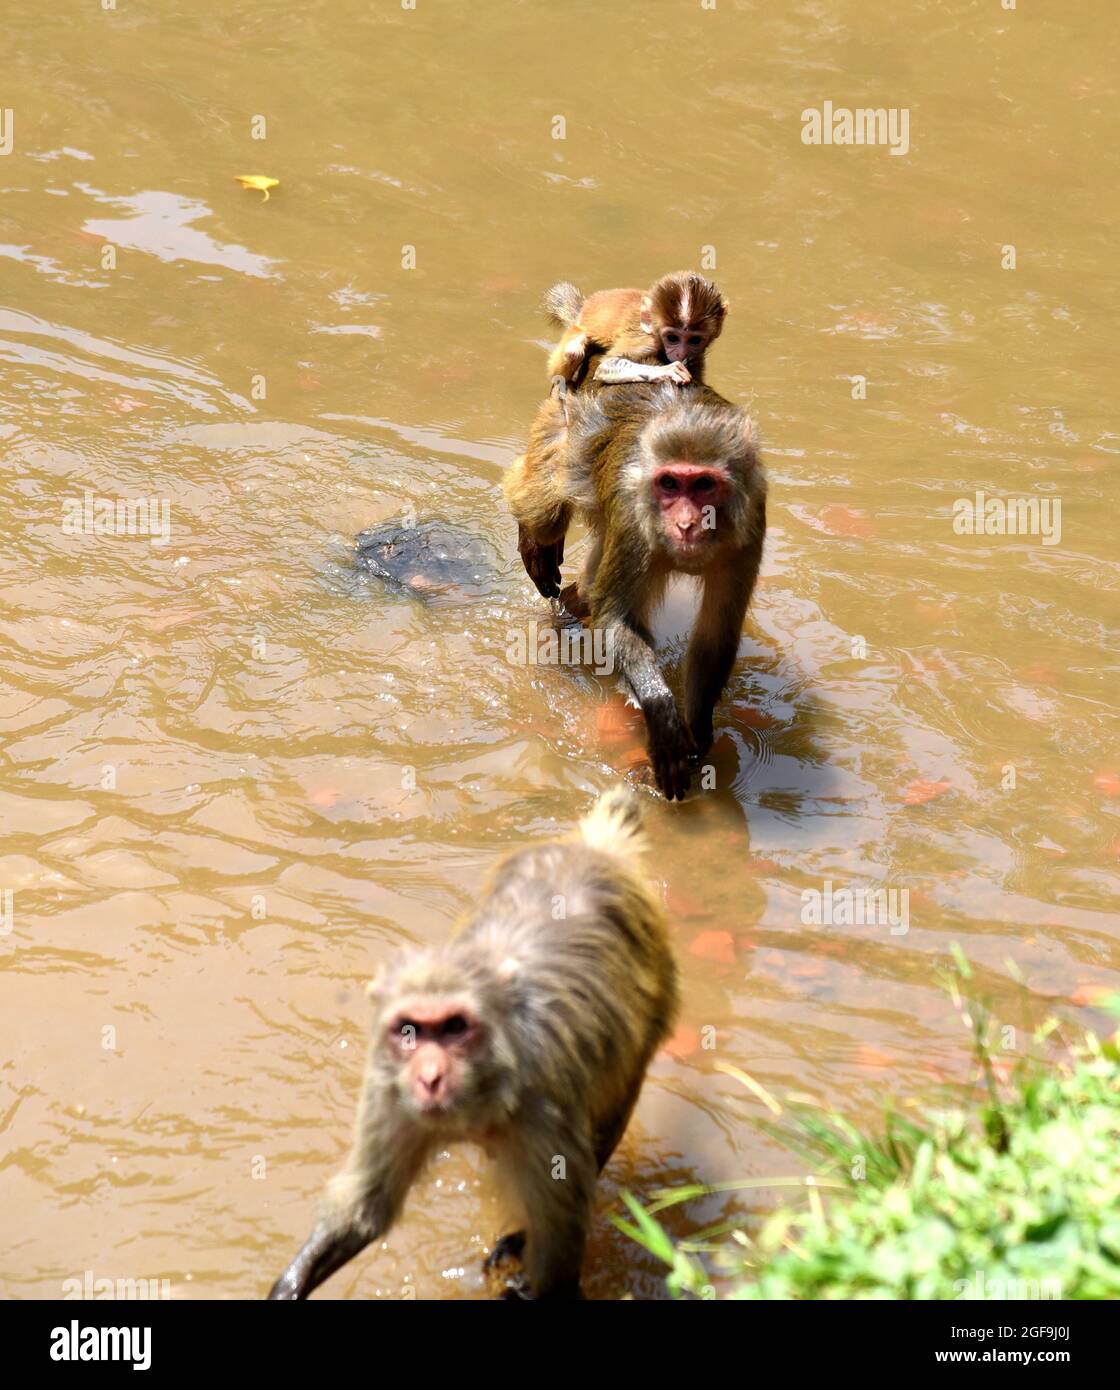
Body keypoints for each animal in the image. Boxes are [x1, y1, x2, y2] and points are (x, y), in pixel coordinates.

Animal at [544, 271, 739, 391]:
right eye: (672, 338)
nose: (681, 352)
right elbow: (606, 365)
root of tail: (582, 309)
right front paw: (665, 371)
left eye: (694, 340)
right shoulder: (646, 341)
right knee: (573, 352)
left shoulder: (697, 355)